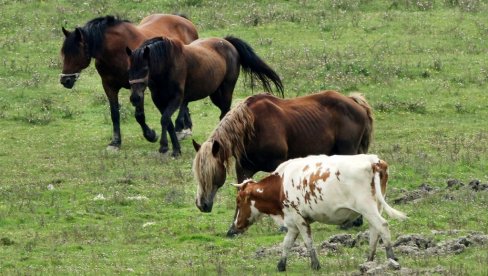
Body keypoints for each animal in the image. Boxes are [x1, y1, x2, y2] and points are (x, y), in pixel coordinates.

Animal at [59, 14, 198, 150]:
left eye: (75, 53)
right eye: (64, 53)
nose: (65, 80)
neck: (117, 52)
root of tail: (184, 20)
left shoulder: (138, 87)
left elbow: (139, 115)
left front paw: (151, 135)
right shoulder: (109, 86)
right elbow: (114, 114)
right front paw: (115, 142)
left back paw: (181, 128)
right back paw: (184, 127)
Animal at [192, 91, 374, 216]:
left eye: (209, 174)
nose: (201, 204)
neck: (252, 127)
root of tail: (355, 102)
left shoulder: (277, 164)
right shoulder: (243, 168)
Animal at [229, 154, 408, 272]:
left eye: (238, 201)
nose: (235, 226)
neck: (281, 184)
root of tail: (373, 161)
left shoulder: (298, 217)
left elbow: (308, 242)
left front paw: (315, 265)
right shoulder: (292, 222)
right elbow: (287, 243)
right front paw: (281, 265)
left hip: (366, 206)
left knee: (382, 225)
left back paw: (391, 259)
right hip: (376, 205)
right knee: (374, 231)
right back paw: (369, 261)